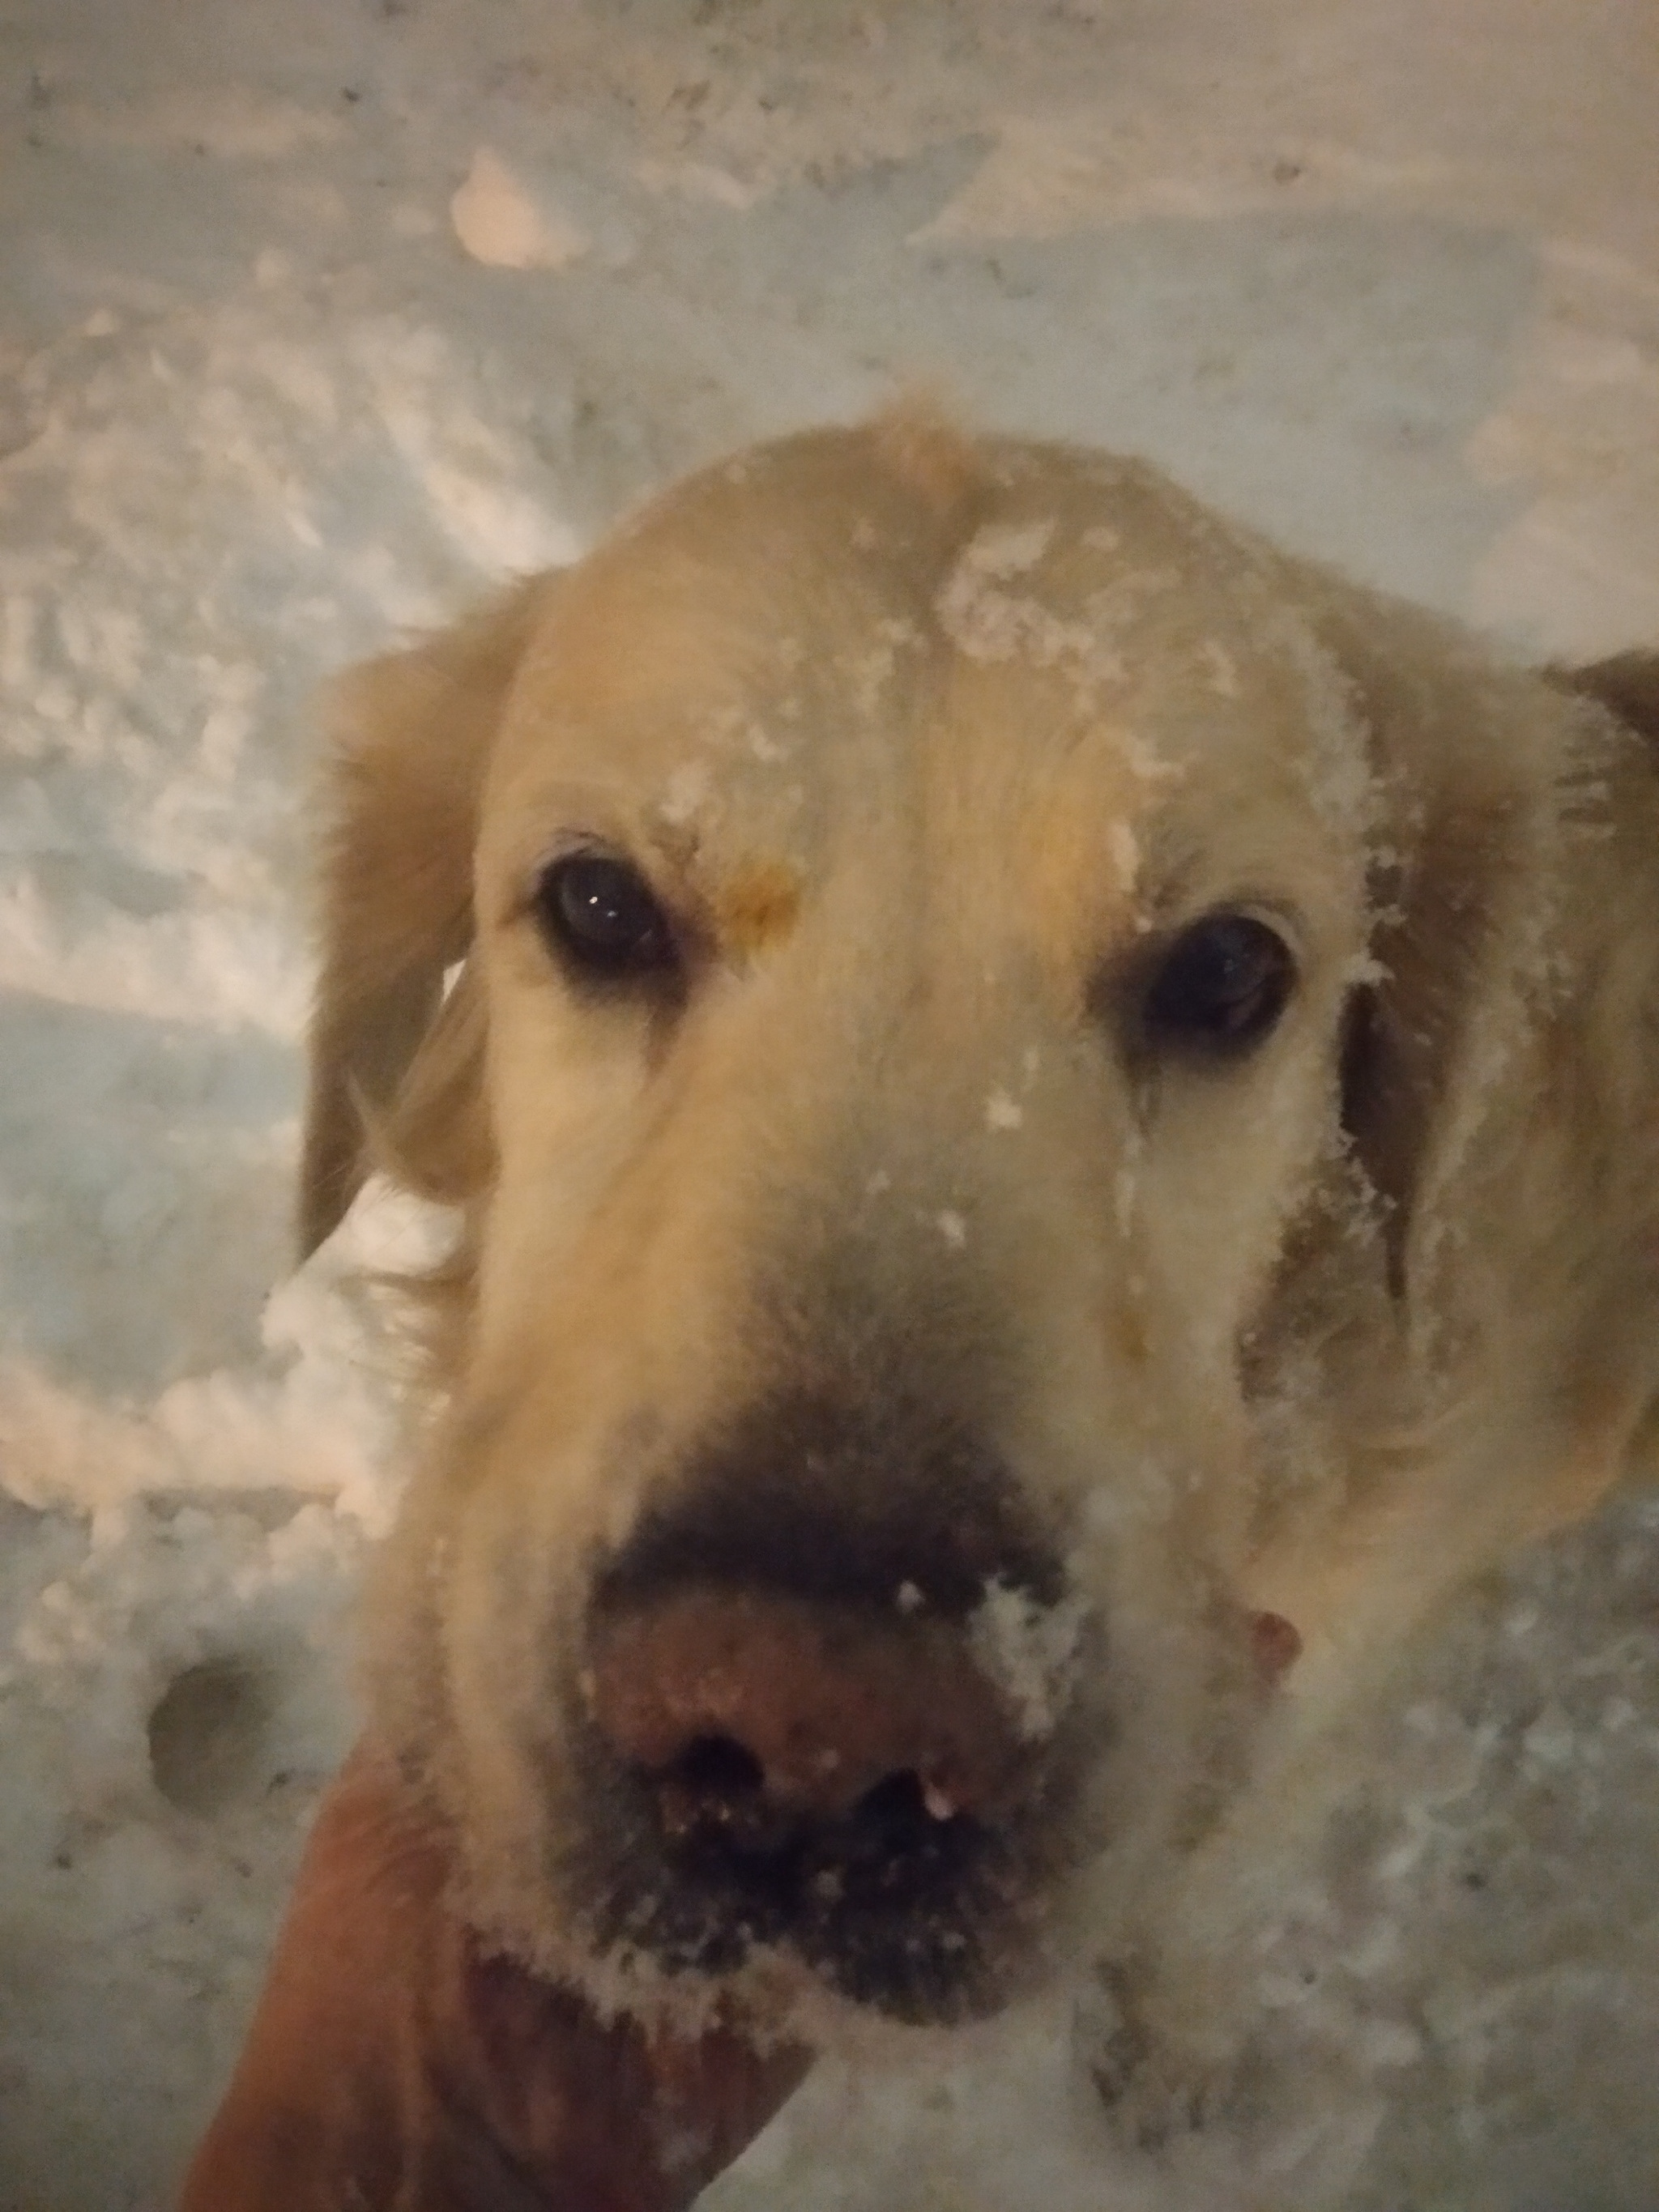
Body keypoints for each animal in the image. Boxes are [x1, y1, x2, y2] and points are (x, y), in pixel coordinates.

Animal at [181, 403, 1659, 2212]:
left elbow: (1206, 1880)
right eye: (597, 906)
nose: (811, 1726)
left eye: (1226, 973)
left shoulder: (1338, 1649)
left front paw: (1168, 2059)